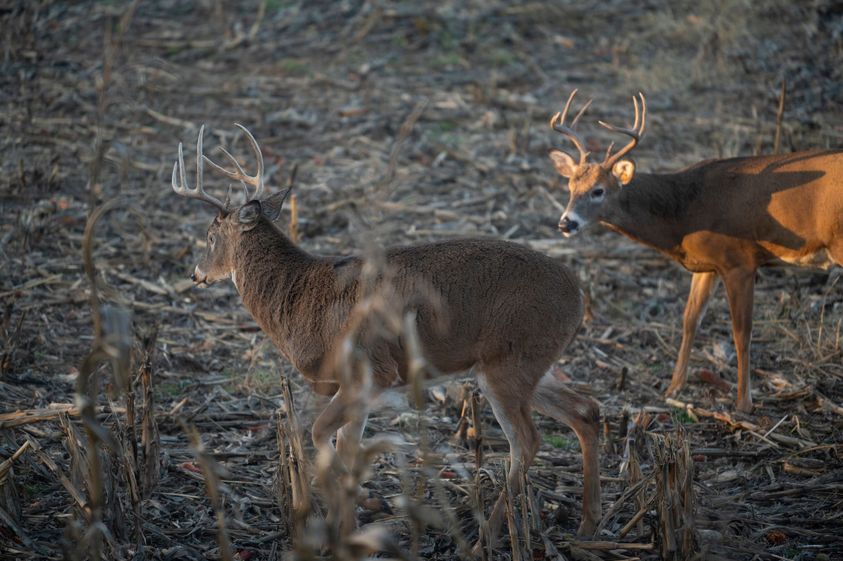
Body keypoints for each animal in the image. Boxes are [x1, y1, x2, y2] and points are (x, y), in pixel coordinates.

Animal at [171, 123, 604, 548]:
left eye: (210, 236)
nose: (195, 273)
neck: (299, 297)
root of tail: (578, 294)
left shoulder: (370, 369)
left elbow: (321, 434)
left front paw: (363, 511)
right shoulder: (354, 384)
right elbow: (345, 446)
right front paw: (342, 529)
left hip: (508, 364)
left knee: (527, 441)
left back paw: (487, 538)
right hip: (527, 362)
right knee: (585, 410)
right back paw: (587, 524)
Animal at [548, 89, 843, 414]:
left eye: (598, 190)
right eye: (570, 186)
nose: (565, 222)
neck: (684, 212)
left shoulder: (740, 261)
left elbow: (742, 332)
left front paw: (743, 403)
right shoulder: (707, 265)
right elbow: (690, 320)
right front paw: (673, 388)